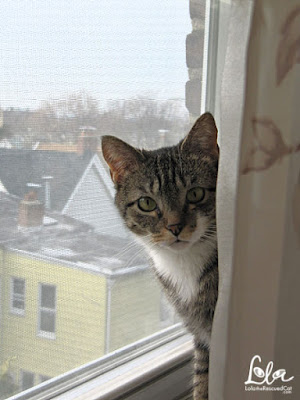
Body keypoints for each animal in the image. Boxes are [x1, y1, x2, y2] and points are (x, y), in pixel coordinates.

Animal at [101, 111, 218, 398]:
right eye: (146, 203)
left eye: (195, 193)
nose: (175, 227)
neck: (183, 264)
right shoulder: (202, 335)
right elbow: (202, 380)